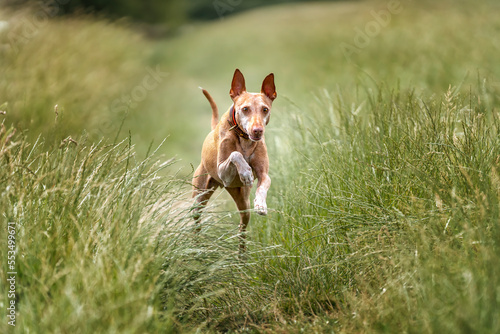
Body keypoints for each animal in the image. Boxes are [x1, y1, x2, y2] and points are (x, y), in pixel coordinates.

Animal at [192, 68, 278, 250]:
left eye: (265, 109)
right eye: (245, 109)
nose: (257, 130)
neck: (245, 140)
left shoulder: (264, 174)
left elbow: (263, 185)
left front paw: (261, 204)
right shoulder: (222, 172)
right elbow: (235, 154)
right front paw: (245, 172)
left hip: (243, 202)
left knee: (242, 227)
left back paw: (242, 253)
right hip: (200, 195)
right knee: (196, 221)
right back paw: (195, 246)